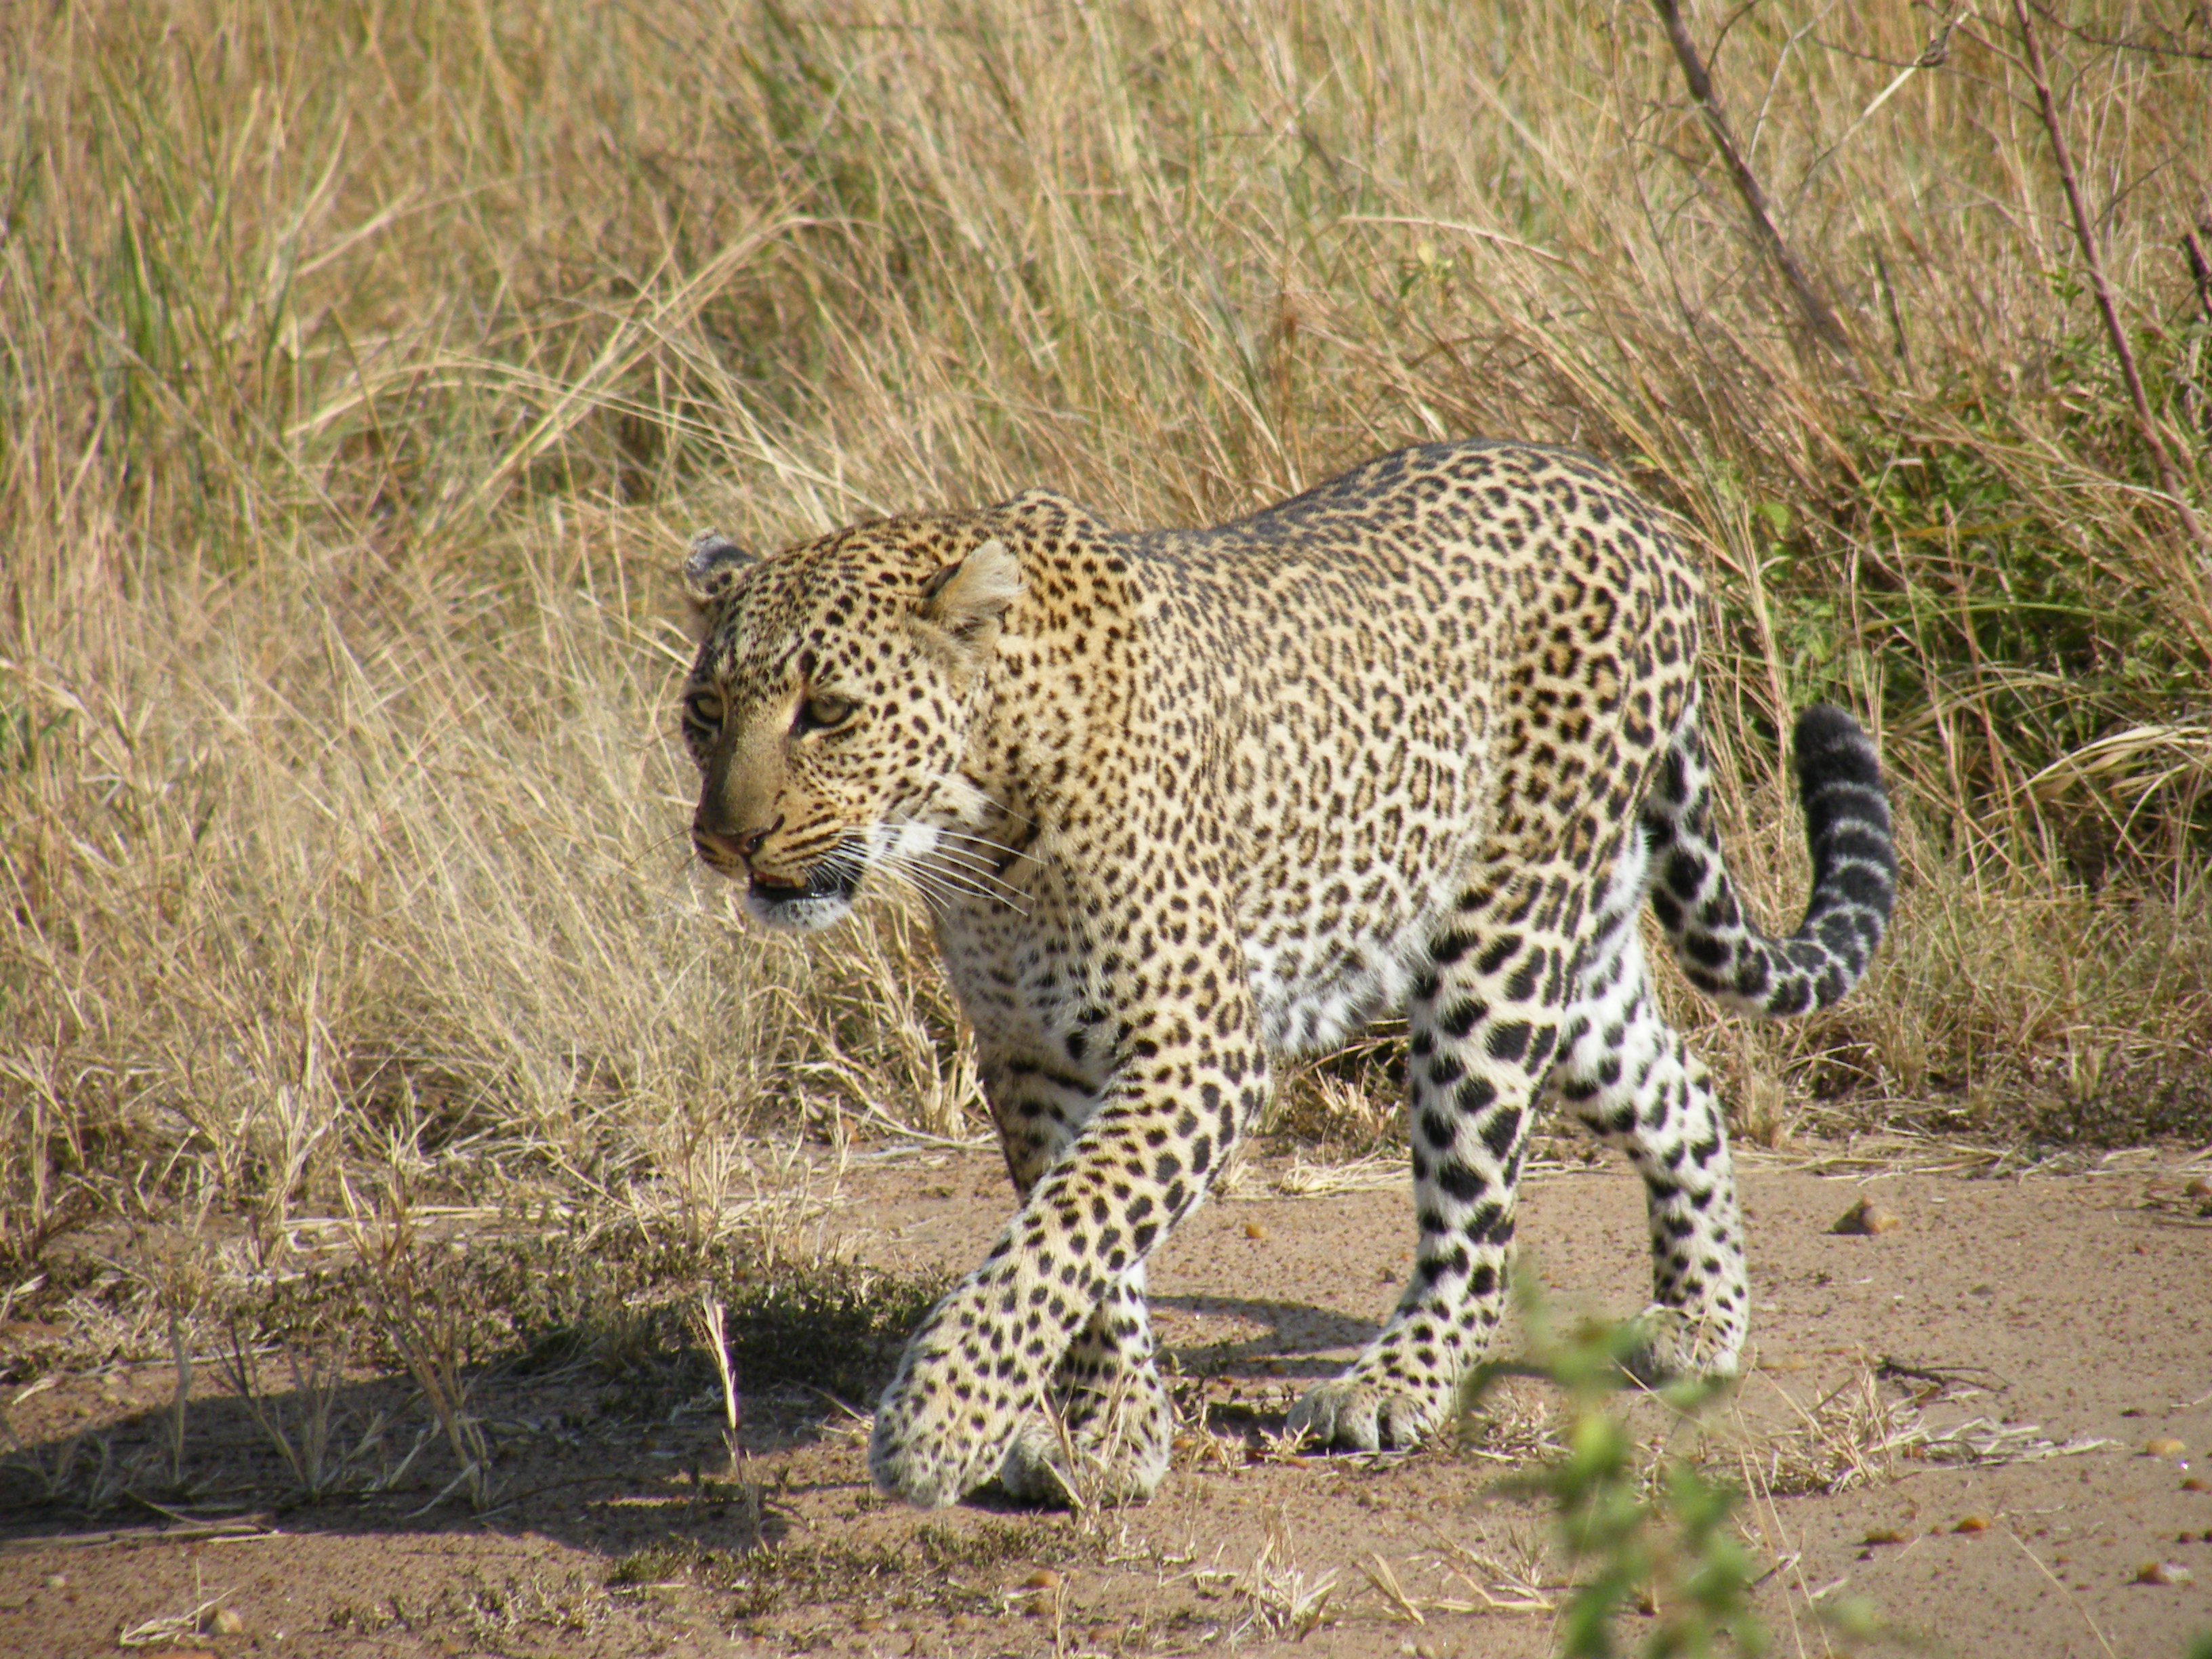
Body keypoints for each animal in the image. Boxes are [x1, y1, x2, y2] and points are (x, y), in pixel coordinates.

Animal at [676, 437, 1895, 1511]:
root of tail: (1631, 505)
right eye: (704, 713)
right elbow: (1084, 1252)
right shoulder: (1030, 1053)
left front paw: (937, 1424)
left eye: (827, 712)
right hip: (1571, 952)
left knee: (1475, 1215)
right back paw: (1702, 1320)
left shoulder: (1199, 1045)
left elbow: (1065, 1230)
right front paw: (1110, 1428)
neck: (973, 824)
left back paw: (1395, 1383)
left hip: (1496, 949)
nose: (726, 840)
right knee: (1680, 1087)